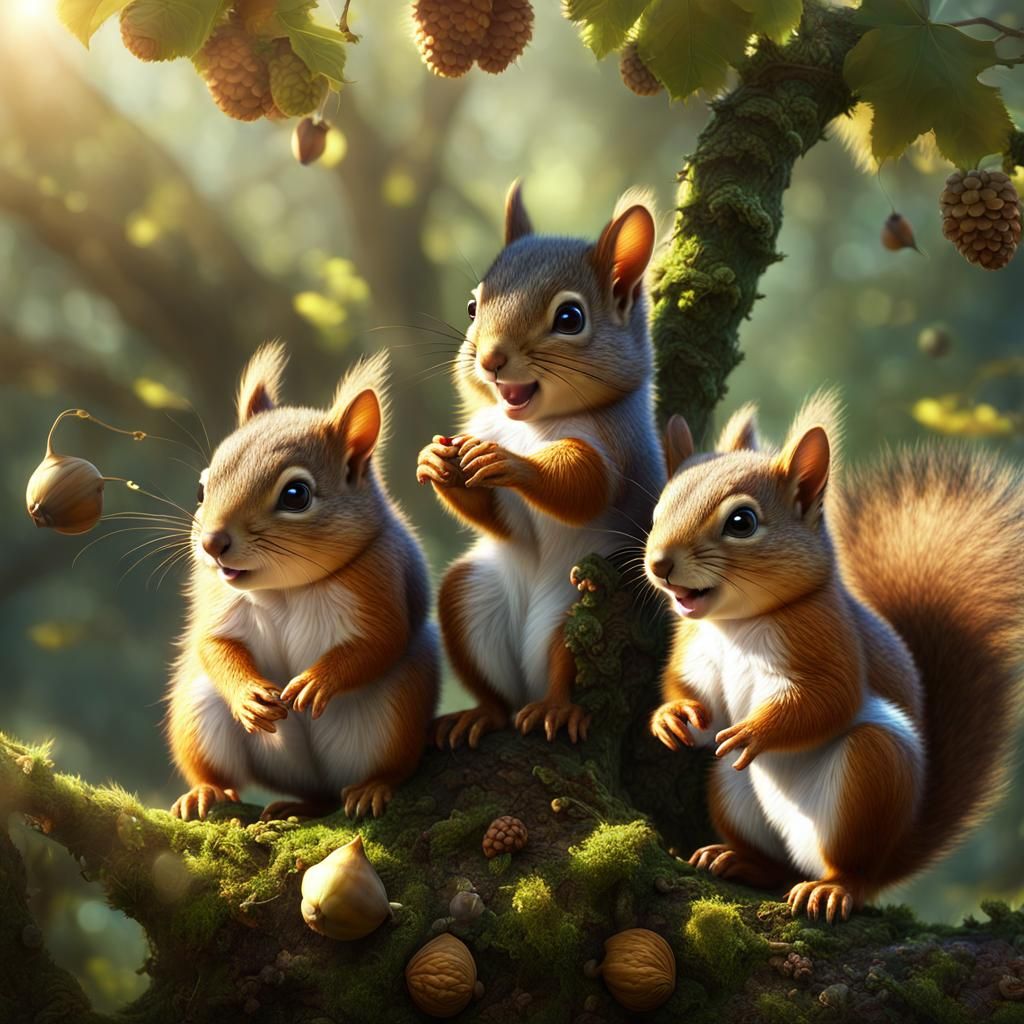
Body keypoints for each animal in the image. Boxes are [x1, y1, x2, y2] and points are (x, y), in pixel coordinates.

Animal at [166, 343, 438, 821]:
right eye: (201, 490)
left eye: (296, 495)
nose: (212, 543)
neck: (284, 590)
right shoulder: (215, 599)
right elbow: (211, 643)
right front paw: (249, 695)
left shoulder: (381, 581)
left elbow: (380, 642)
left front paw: (318, 681)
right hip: (197, 712)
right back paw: (209, 792)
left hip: (397, 715)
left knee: (385, 769)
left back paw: (370, 788)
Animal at [417, 181, 665, 750]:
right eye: (472, 306)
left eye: (569, 319)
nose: (490, 360)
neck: (528, 425)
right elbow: (497, 519)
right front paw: (437, 459)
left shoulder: (615, 449)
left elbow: (583, 487)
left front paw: (507, 462)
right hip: (468, 598)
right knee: (496, 693)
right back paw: (479, 715)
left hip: (581, 609)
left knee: (562, 665)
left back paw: (554, 707)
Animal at [645, 391, 1023, 921]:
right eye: (657, 509)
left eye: (742, 522)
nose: (659, 563)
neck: (734, 626)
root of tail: (893, 854)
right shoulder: (695, 651)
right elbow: (697, 699)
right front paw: (671, 717)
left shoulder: (828, 639)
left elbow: (829, 700)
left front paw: (754, 732)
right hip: (730, 788)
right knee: (778, 867)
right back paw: (739, 860)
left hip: (871, 776)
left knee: (851, 869)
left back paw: (833, 888)